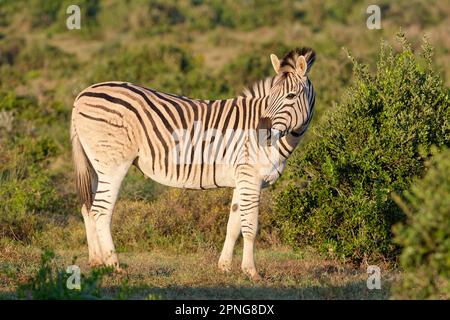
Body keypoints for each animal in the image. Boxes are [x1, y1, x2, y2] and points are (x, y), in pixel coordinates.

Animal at [71, 47, 316, 280]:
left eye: (291, 96)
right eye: (270, 96)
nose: (259, 131)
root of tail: (81, 94)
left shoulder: (242, 178)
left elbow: (233, 225)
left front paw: (224, 267)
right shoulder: (250, 177)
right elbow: (250, 227)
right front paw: (251, 271)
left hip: (96, 165)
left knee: (88, 208)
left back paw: (97, 262)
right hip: (113, 164)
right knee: (101, 211)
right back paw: (114, 266)